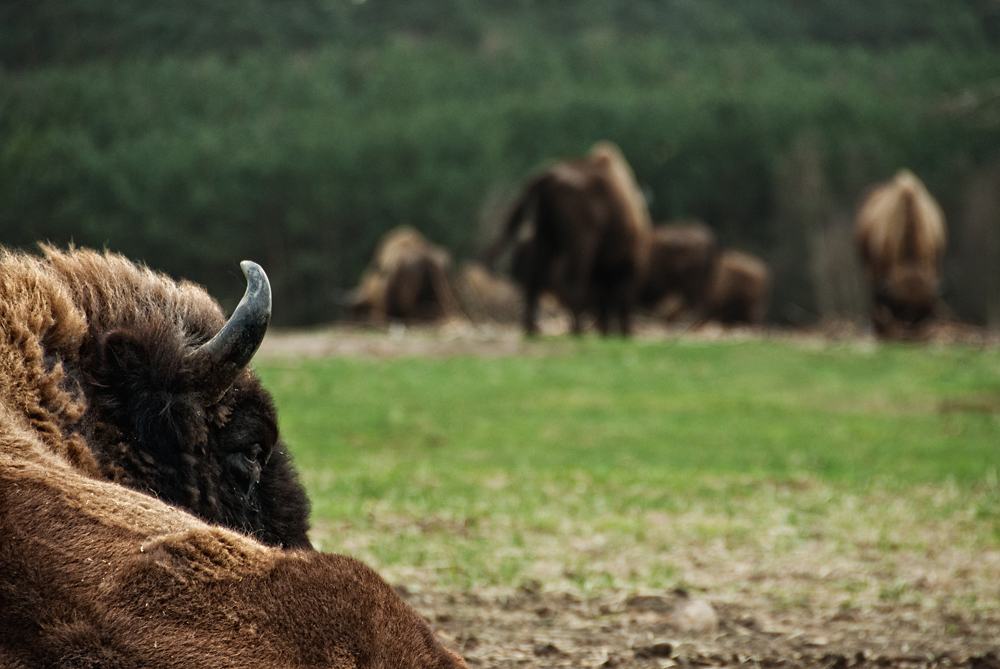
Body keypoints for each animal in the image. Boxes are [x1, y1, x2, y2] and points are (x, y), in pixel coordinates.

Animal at [486, 143, 656, 336]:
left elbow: (604, 300)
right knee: (573, 280)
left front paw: (606, 330)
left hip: (546, 236)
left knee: (535, 278)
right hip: (581, 244)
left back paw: (533, 328)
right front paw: (622, 330)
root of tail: (549, 176)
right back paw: (577, 329)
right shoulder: (628, 266)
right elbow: (620, 298)